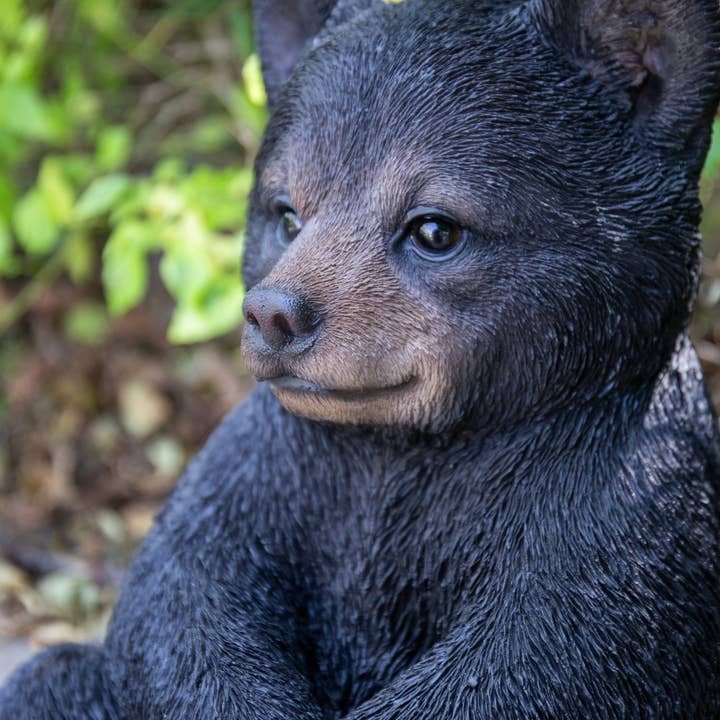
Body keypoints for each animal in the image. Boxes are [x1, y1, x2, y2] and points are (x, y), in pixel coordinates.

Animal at [2, 0, 720, 717]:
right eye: (287, 214)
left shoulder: (625, 514)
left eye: (435, 227)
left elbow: (538, 660)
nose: (274, 314)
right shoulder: (270, 464)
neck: (414, 452)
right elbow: (183, 586)